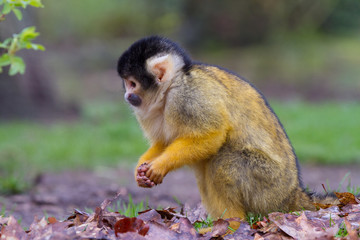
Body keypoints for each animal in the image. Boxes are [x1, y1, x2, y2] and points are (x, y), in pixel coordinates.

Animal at [118, 36, 332, 224]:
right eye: (127, 84)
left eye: (133, 84)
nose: (127, 95)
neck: (171, 87)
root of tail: (293, 192)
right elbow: (164, 142)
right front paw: (141, 169)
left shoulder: (188, 96)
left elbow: (212, 134)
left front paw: (159, 166)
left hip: (269, 185)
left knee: (223, 159)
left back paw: (232, 225)